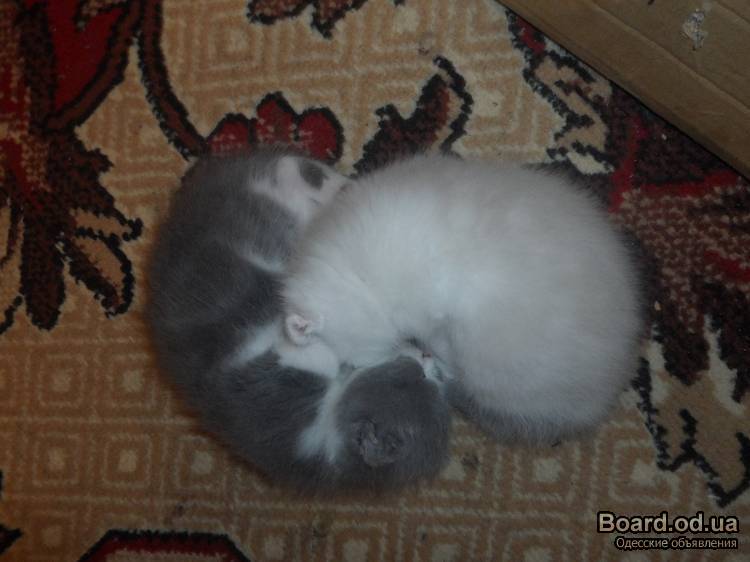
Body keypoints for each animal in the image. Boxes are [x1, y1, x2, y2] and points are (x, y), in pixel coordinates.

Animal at [148, 147, 451, 491]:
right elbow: (317, 354)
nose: (427, 355)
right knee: (304, 175)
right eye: (417, 374)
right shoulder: (262, 381)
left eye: (435, 378)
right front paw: (306, 332)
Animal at [282, 153, 644, 444]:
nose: (414, 357)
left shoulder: (437, 312)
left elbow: (439, 337)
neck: (356, 276)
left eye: (360, 362)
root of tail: (605, 394)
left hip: (494, 372)